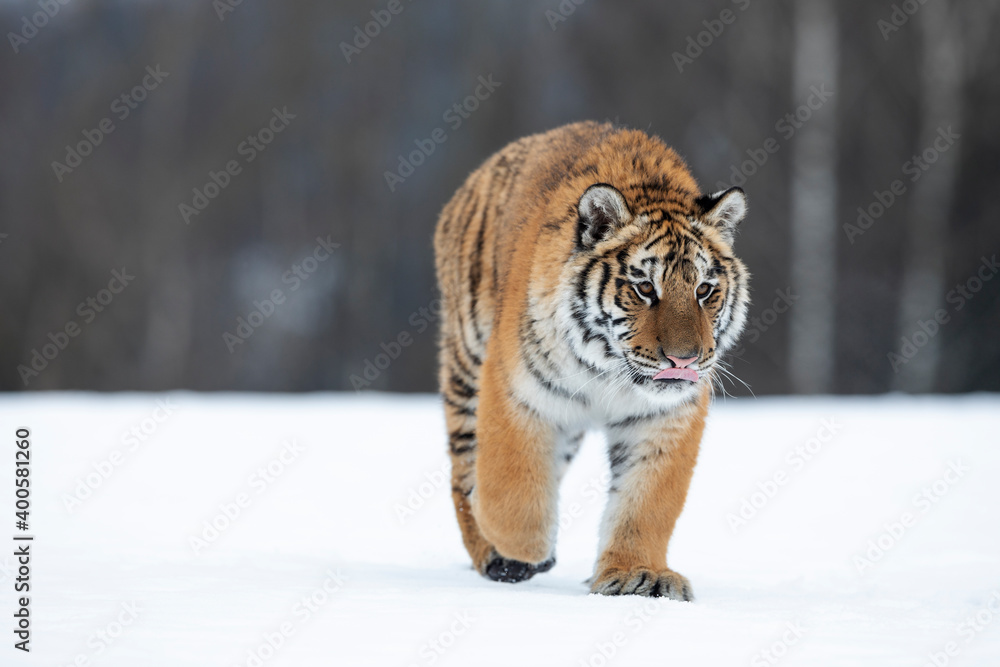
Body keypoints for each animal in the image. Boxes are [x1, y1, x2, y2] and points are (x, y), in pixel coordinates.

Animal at [434, 121, 749, 599]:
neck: (610, 372)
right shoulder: (518, 393)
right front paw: (520, 546)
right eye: (645, 289)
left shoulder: (666, 419)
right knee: (464, 470)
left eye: (704, 290)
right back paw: (495, 555)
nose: (685, 359)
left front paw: (638, 574)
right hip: (466, 363)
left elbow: (647, 502)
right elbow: (510, 487)